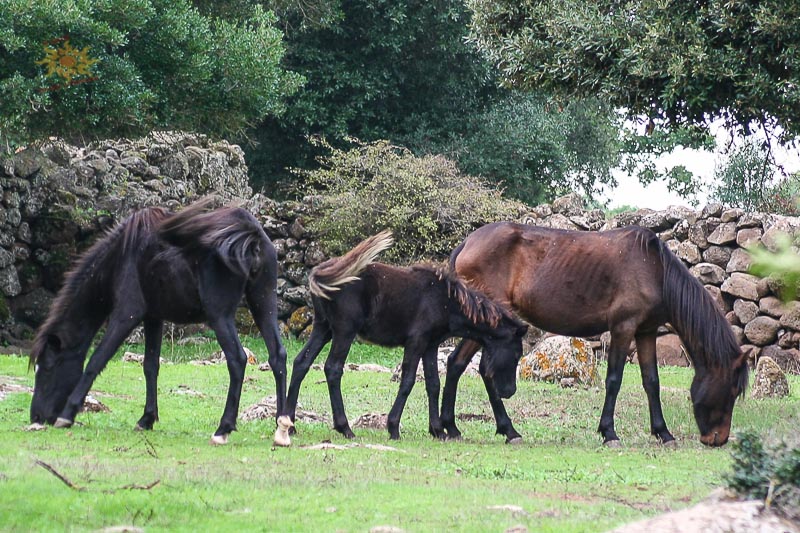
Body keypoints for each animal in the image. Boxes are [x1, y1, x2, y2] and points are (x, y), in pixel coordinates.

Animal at [29, 197, 290, 442]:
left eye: (48, 368)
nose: (36, 416)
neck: (122, 256)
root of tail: (250, 234)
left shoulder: (125, 315)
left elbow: (96, 361)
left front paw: (68, 413)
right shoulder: (153, 318)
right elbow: (150, 366)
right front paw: (147, 418)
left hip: (220, 316)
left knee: (237, 360)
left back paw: (223, 428)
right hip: (263, 304)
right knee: (277, 356)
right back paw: (283, 426)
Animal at [284, 231, 528, 438]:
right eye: (516, 354)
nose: (509, 391)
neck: (445, 301)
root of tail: (321, 272)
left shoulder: (431, 345)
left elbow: (433, 384)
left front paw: (438, 430)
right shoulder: (416, 342)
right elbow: (408, 381)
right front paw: (393, 428)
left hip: (322, 328)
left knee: (301, 362)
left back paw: (289, 424)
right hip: (344, 331)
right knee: (333, 369)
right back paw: (344, 428)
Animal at [444, 220, 752, 444]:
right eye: (732, 390)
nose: (718, 439)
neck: (655, 270)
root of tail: (467, 242)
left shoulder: (646, 332)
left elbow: (651, 381)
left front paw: (663, 433)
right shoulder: (623, 328)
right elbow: (614, 380)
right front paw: (609, 432)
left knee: (460, 364)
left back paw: (458, 428)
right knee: (479, 368)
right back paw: (497, 430)